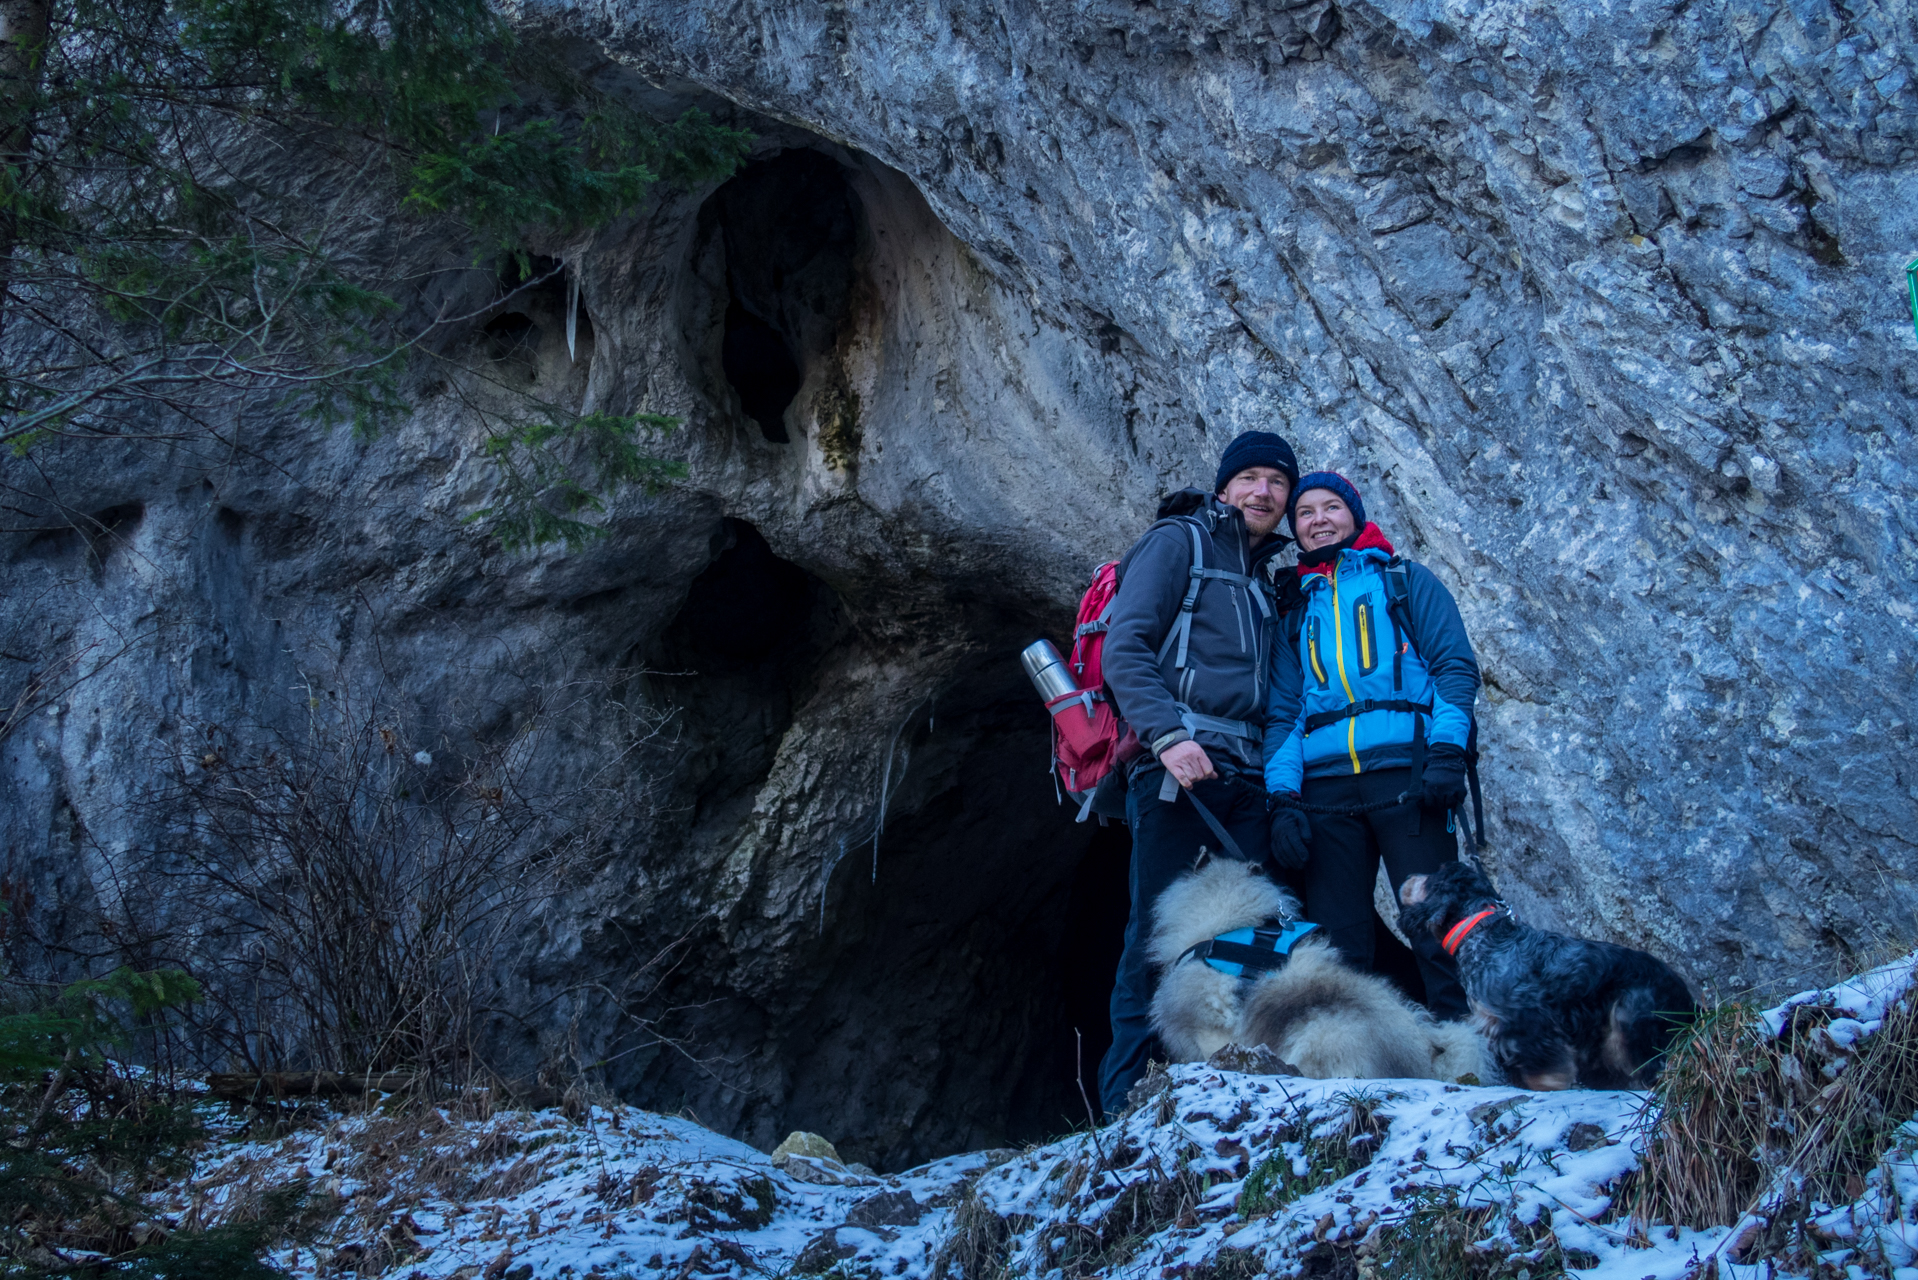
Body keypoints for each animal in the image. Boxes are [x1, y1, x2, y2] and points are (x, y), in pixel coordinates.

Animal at [1396, 859, 1695, 1090]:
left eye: (1431, 875)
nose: (1407, 877)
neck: (1484, 935)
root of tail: (1687, 997)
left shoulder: (1529, 1022)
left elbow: (1545, 1069)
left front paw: (1549, 1086)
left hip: (1629, 1017)